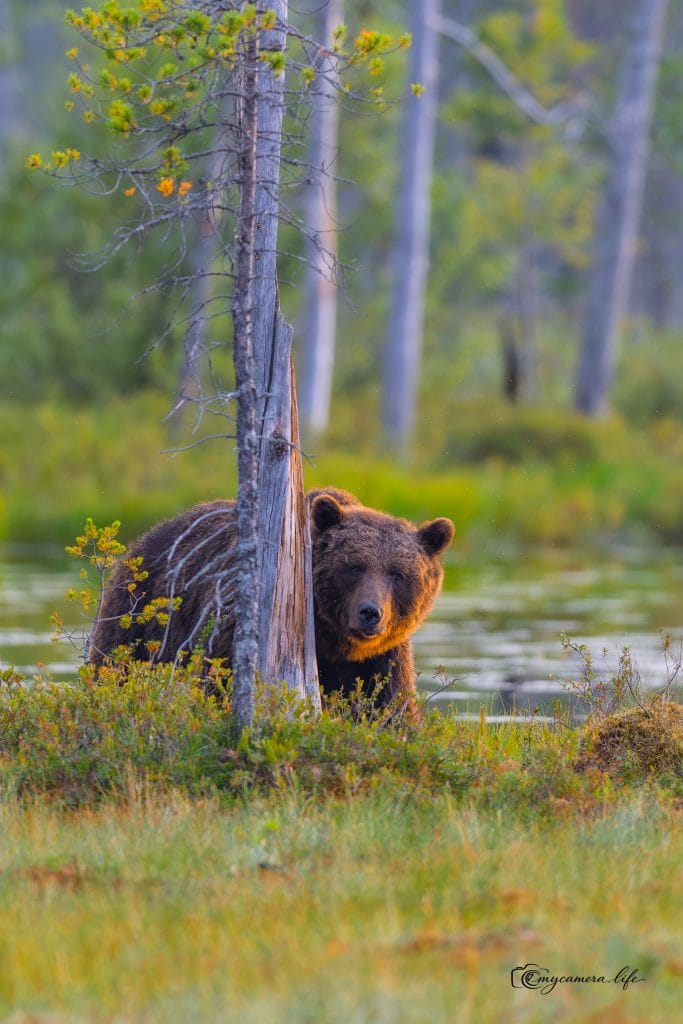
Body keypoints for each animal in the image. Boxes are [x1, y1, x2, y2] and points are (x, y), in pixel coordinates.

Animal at [88, 489, 454, 717]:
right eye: (354, 566)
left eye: (398, 574)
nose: (370, 613)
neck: (333, 642)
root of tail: (146, 537)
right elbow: (221, 680)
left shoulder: (381, 658)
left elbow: (390, 708)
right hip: (143, 609)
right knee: (115, 665)